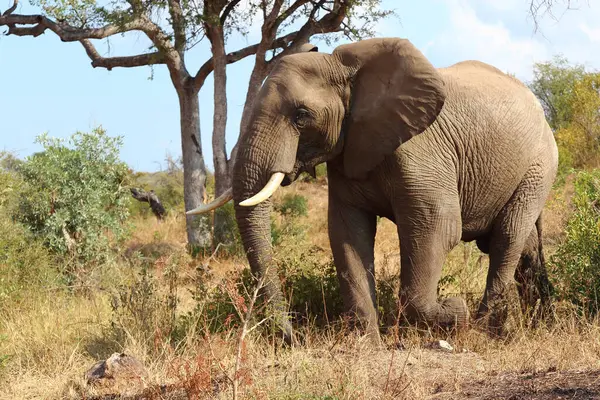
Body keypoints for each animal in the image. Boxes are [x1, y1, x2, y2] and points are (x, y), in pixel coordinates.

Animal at [190, 36, 560, 346]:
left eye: (301, 116)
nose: (291, 338)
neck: (347, 69)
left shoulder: (421, 151)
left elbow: (438, 227)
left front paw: (454, 310)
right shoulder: (347, 151)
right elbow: (347, 233)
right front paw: (365, 345)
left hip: (539, 165)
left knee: (506, 238)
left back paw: (485, 331)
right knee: (523, 247)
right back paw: (535, 324)